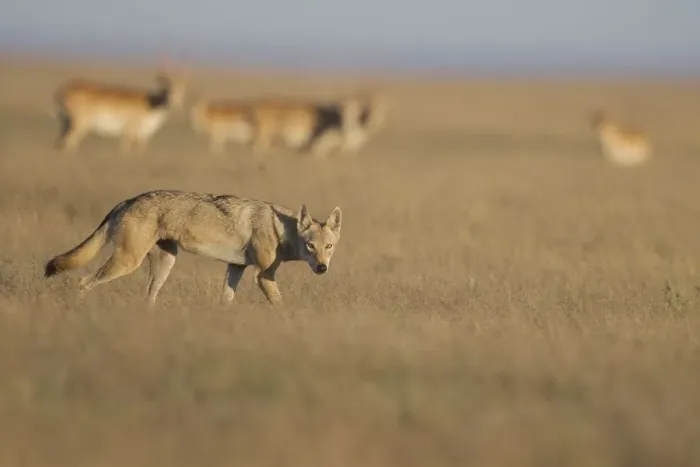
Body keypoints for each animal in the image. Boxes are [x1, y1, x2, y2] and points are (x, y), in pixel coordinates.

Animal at [44, 190, 342, 305]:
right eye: (310, 246)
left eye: (329, 246)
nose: (322, 268)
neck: (281, 229)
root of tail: (128, 200)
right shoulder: (263, 275)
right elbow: (279, 304)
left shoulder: (235, 268)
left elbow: (226, 300)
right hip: (127, 263)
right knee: (84, 281)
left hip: (164, 266)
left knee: (148, 297)